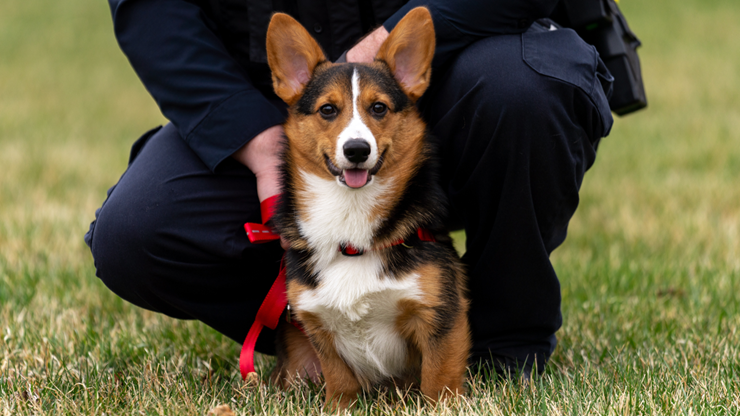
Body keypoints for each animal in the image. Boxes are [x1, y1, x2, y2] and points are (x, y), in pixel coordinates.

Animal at [264, 6, 468, 410]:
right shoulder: (317, 321)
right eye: (328, 110)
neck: (350, 224)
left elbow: (439, 382)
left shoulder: (439, 314)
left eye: (379, 108)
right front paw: (336, 409)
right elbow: (340, 384)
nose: (357, 150)